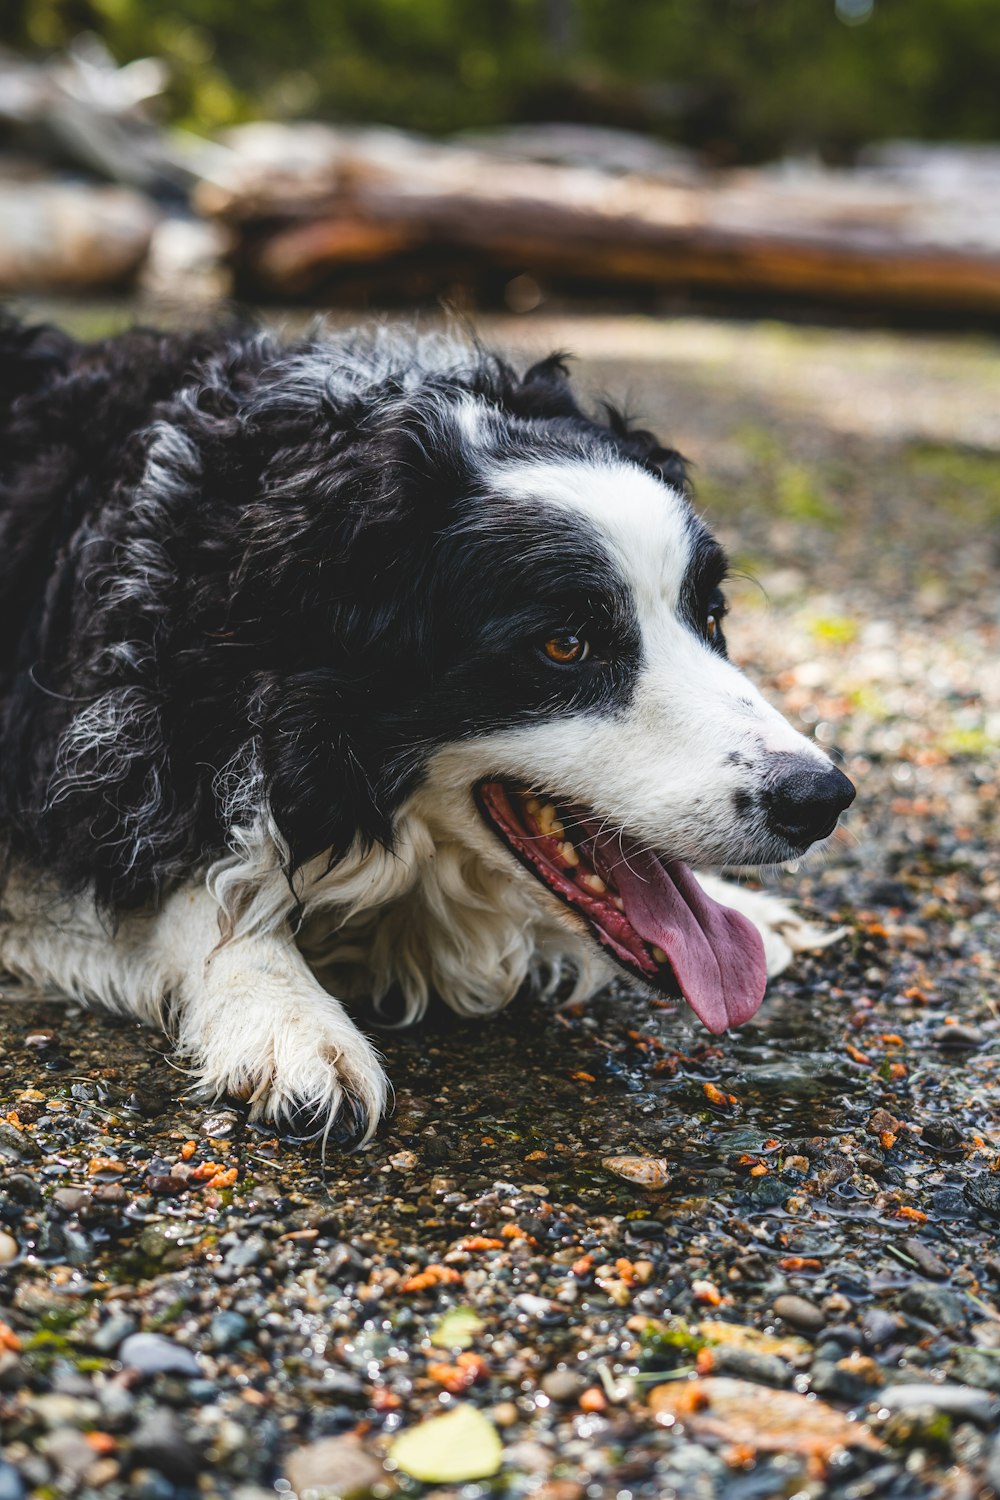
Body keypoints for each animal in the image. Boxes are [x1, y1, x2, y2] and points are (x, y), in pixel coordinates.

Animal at [0, 316, 857, 1134]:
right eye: (565, 645)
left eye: (710, 615)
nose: (822, 799)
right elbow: (190, 891)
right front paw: (288, 1018)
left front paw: (746, 909)